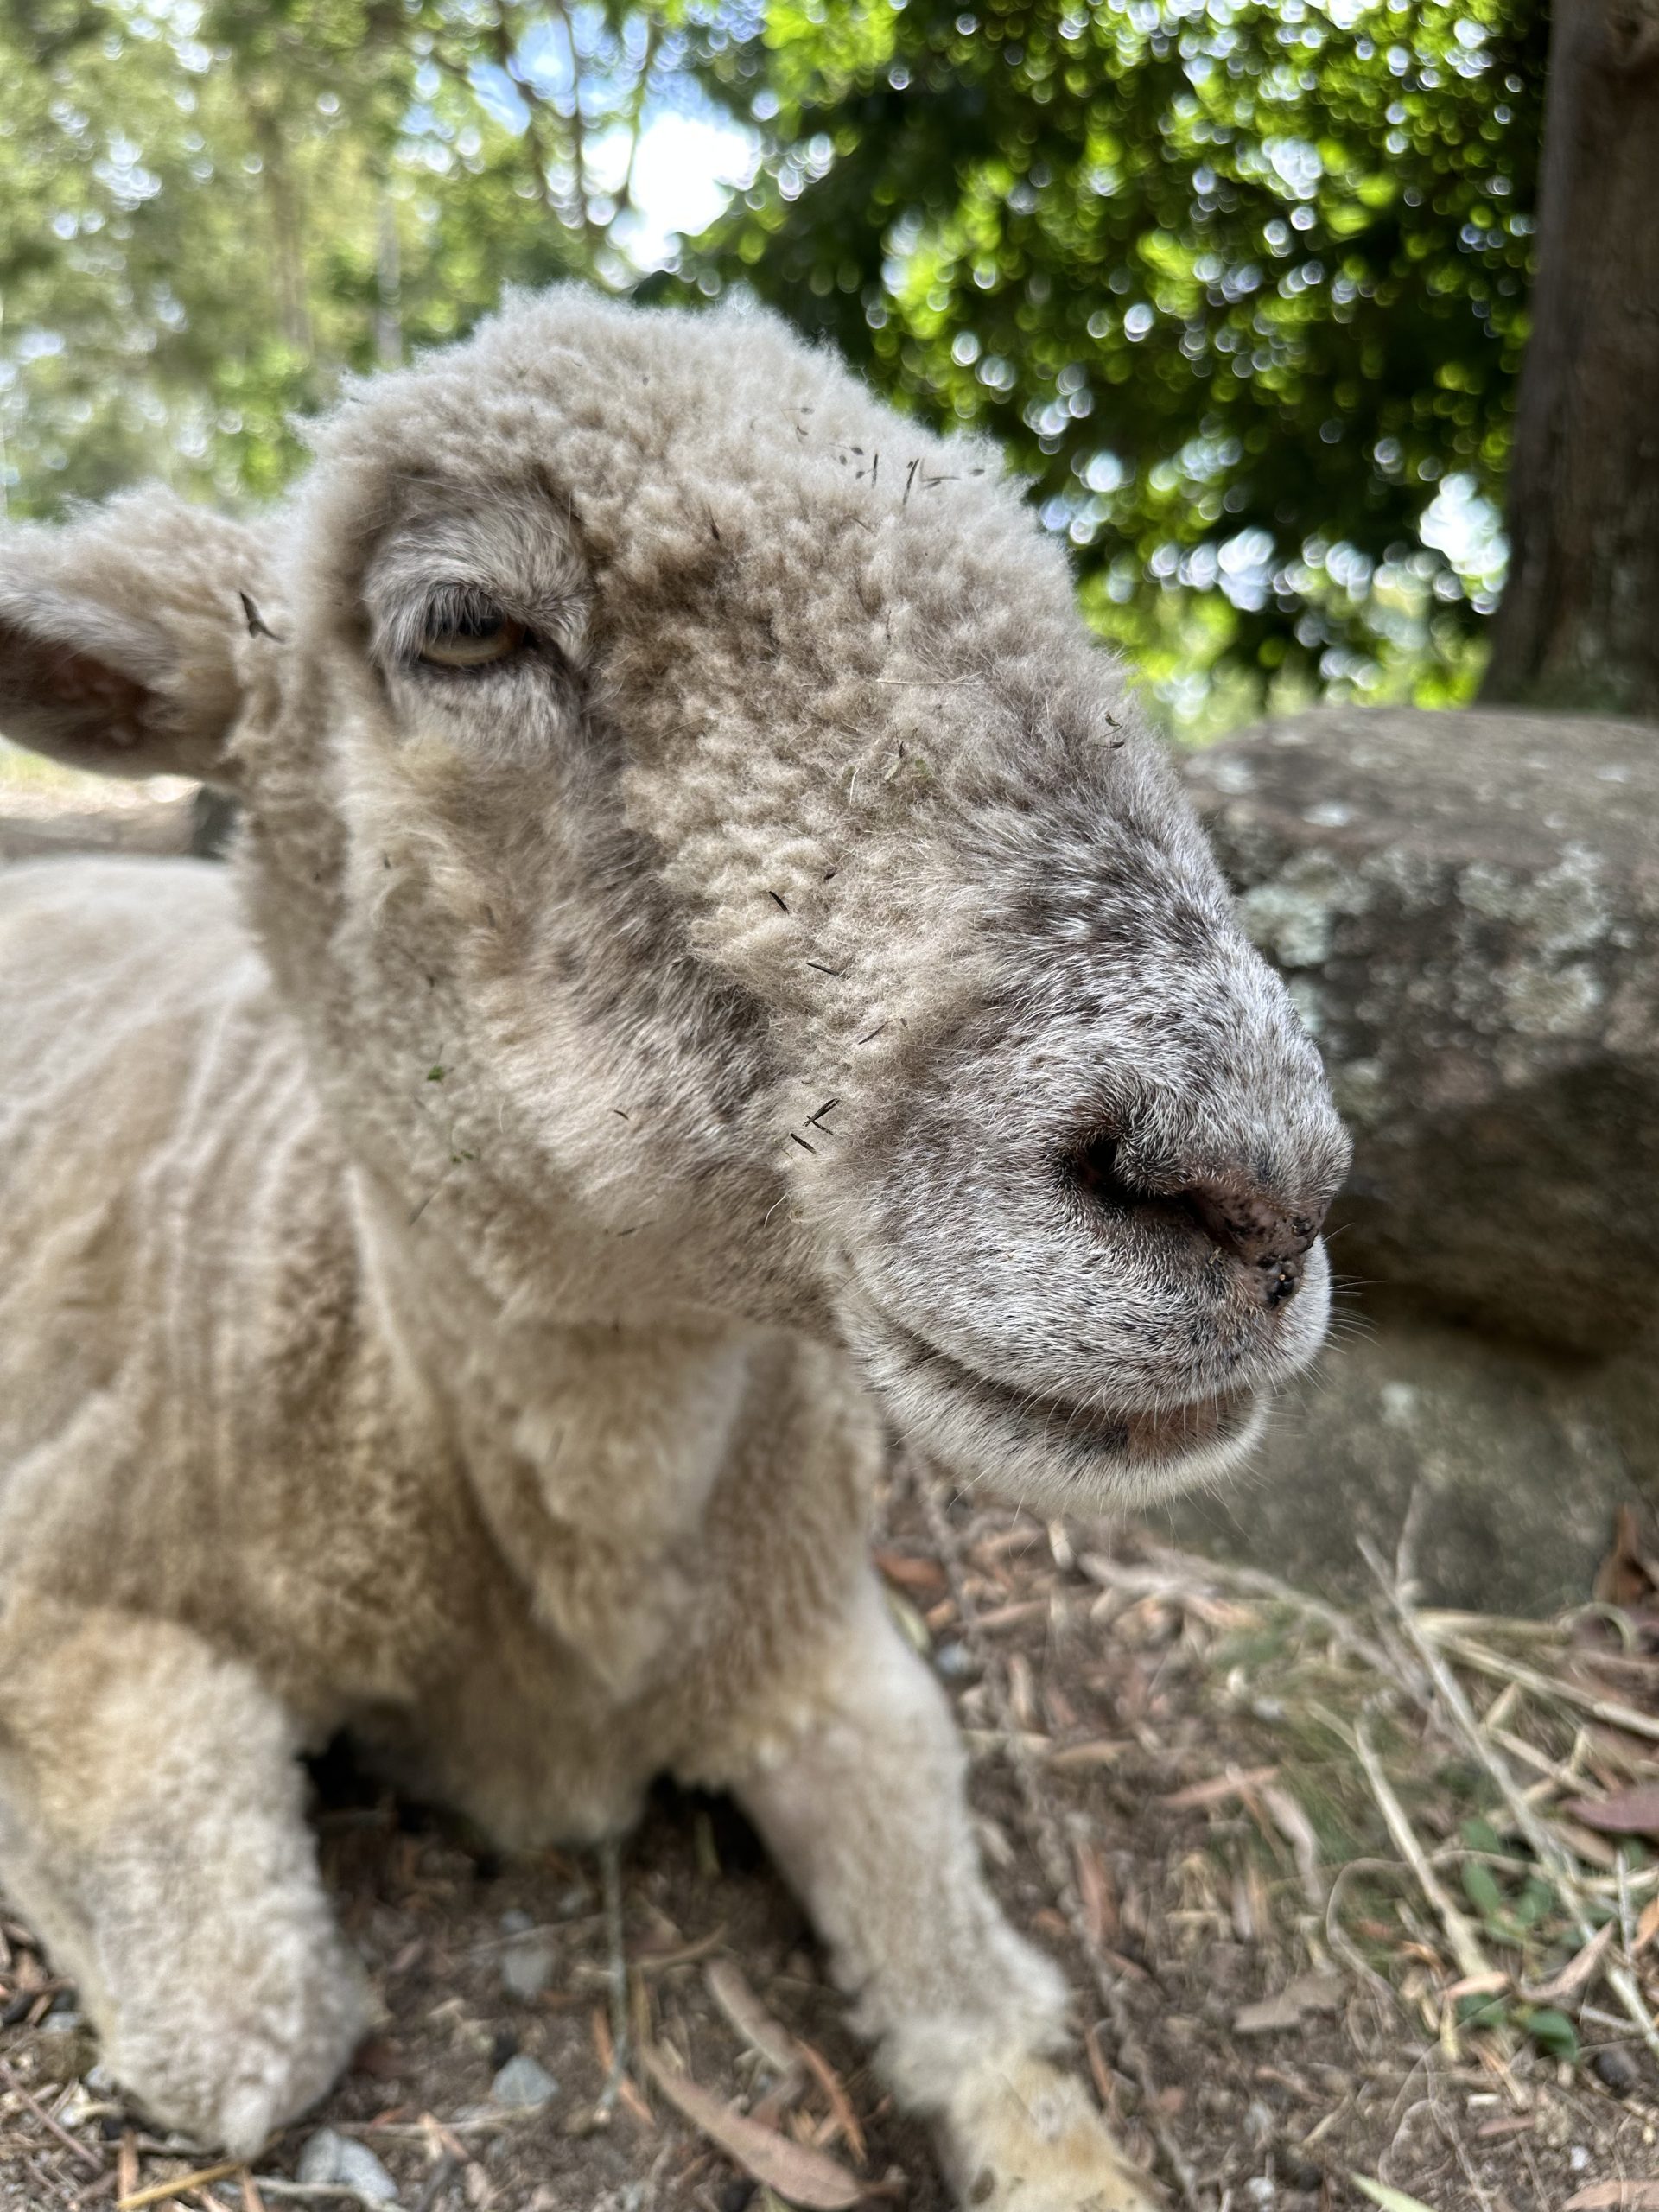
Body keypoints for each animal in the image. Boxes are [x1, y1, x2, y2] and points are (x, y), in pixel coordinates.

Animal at [0, 285, 1353, 2202]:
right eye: (465, 623)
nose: (1259, 1184)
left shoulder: (826, 1654)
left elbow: (978, 2007)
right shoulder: (59, 1588)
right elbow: (248, 2031)